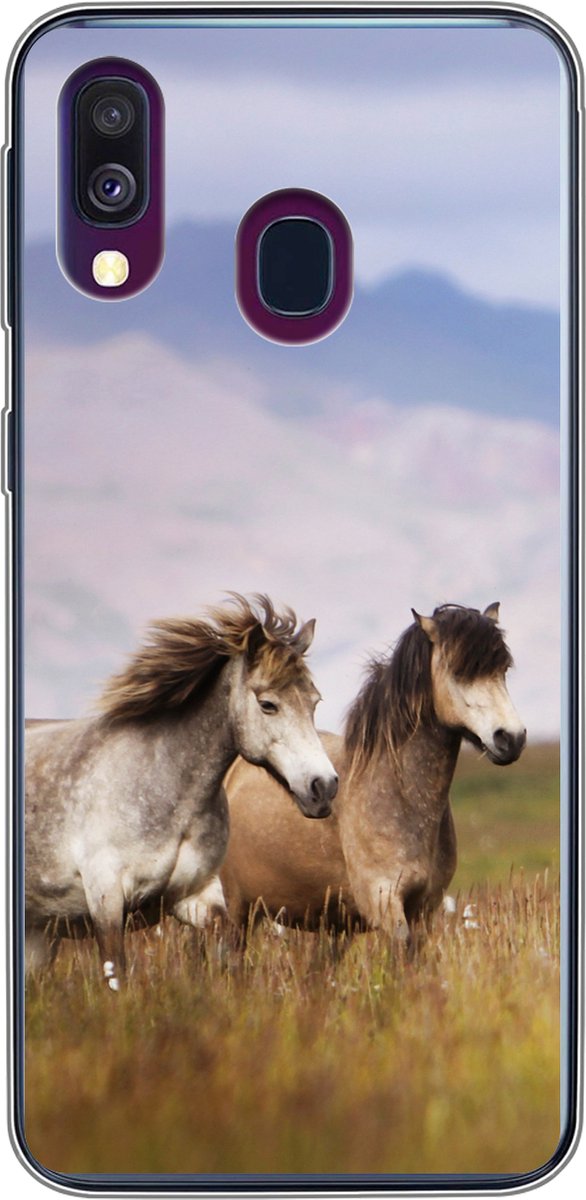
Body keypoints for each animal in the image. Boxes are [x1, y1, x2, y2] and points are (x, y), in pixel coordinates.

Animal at [25, 594, 339, 988]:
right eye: (268, 704)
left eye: (314, 702)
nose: (323, 787)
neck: (166, 791)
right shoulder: (106, 901)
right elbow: (116, 974)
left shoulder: (196, 897)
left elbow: (227, 950)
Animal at [195, 603, 526, 945]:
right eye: (459, 671)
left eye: (503, 670)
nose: (511, 738)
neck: (401, 794)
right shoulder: (385, 903)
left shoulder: (424, 908)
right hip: (234, 914)